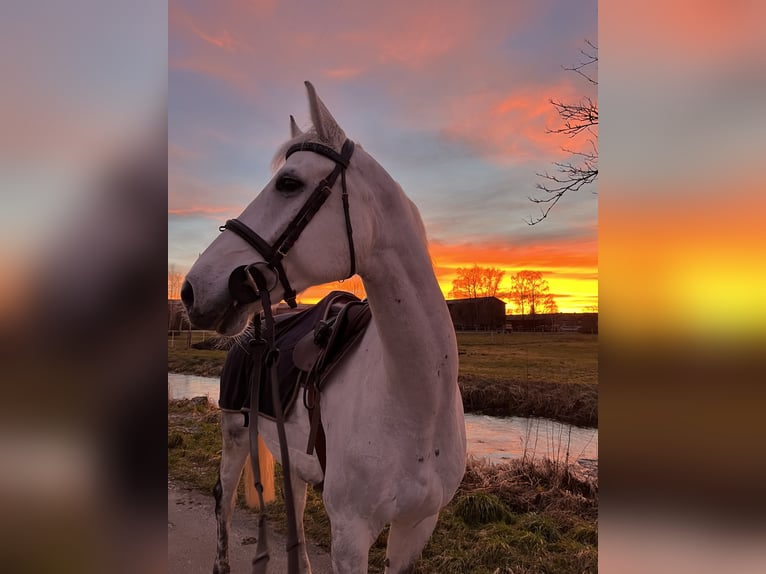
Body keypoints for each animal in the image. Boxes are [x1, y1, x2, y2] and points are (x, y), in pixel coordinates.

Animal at [182, 82, 468, 574]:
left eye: (289, 183)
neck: (418, 404)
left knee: (294, 511)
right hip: (234, 433)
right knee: (225, 500)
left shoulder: (416, 528)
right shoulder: (351, 534)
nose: (191, 289)